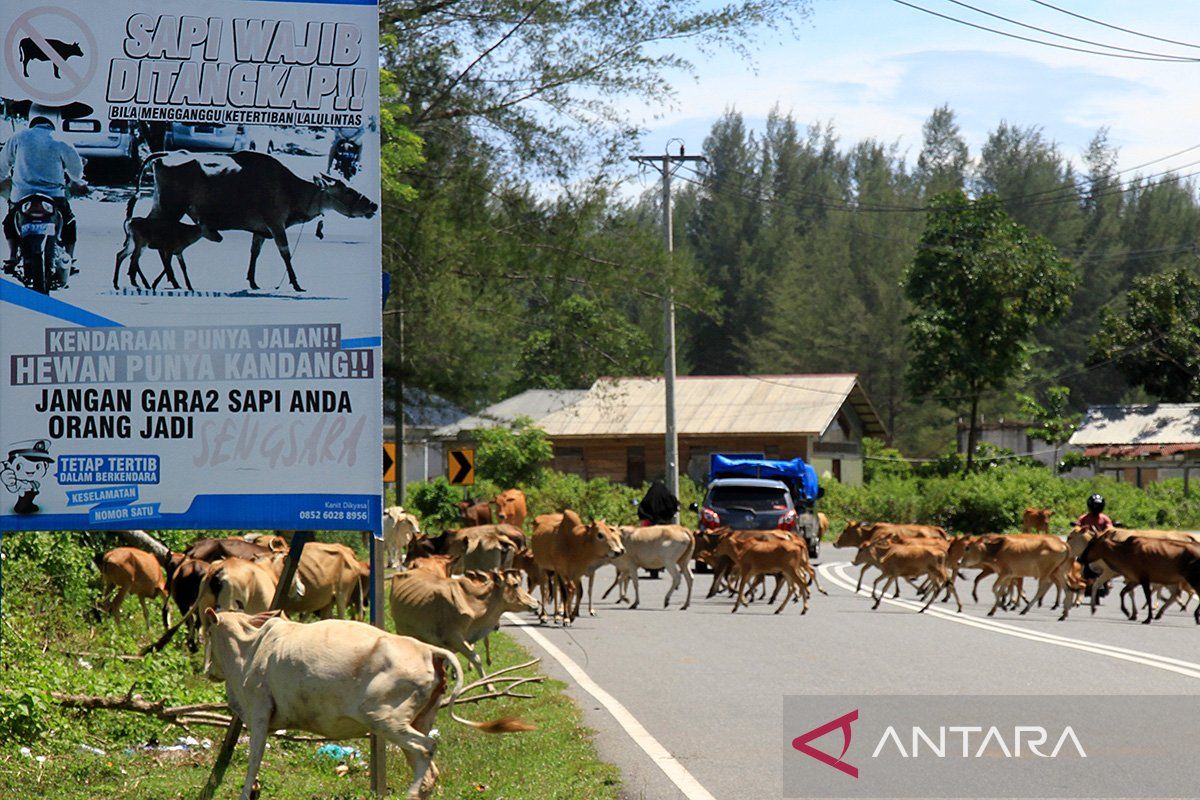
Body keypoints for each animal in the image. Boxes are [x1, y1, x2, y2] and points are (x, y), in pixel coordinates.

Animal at [204, 609, 532, 796]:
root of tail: (428, 650)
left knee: (426, 749)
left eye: (207, 630)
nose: (207, 669)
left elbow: (253, 763)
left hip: (385, 719)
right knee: (428, 766)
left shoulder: (259, 715)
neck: (251, 648)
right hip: (416, 720)